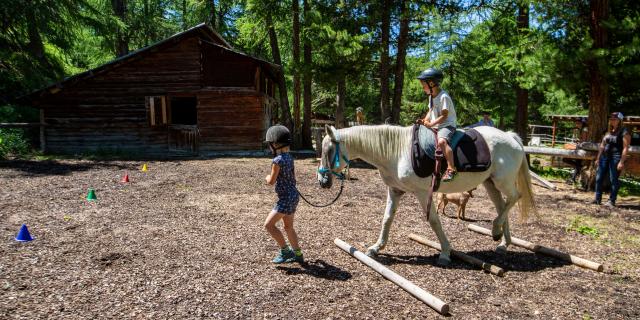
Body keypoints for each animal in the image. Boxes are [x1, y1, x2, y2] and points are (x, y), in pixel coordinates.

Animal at [318, 125, 536, 264]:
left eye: (329, 150)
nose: (322, 181)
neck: (396, 152)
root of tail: (510, 137)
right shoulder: (395, 190)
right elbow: (387, 219)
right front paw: (376, 248)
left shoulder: (423, 193)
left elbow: (433, 220)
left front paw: (445, 253)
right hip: (490, 183)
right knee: (501, 206)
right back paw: (502, 242)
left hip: (502, 181)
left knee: (514, 197)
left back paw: (496, 230)